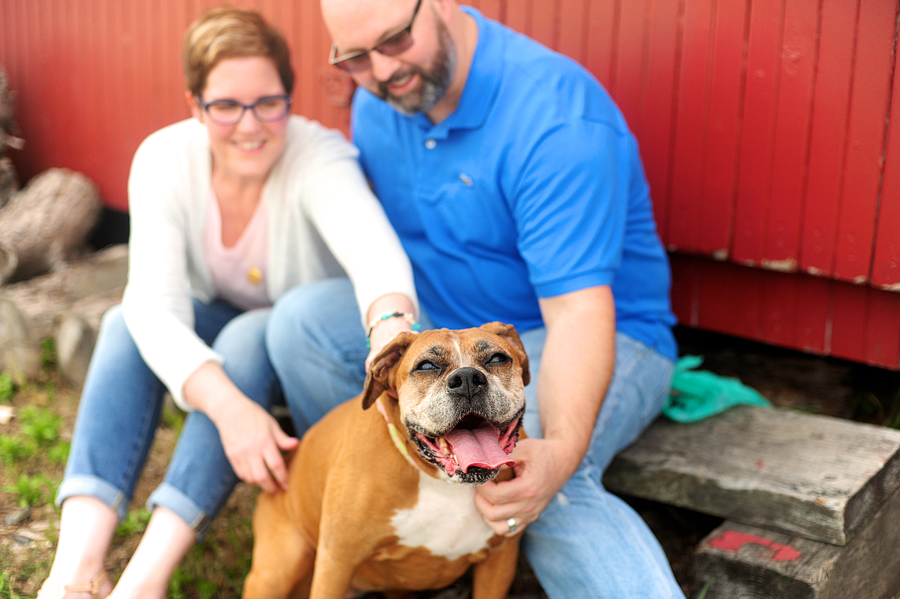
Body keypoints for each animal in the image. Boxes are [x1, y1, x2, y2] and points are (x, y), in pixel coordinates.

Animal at [243, 324, 532, 599]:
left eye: (498, 358)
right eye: (426, 366)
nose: (468, 378)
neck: (446, 485)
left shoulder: (499, 559)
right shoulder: (336, 561)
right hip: (276, 574)